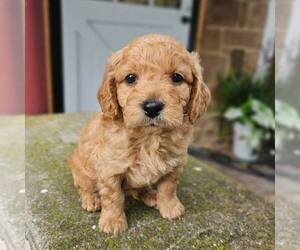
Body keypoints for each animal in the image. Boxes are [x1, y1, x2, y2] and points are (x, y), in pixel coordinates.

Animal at [69, 34, 210, 235]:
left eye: (177, 77)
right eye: (130, 78)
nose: (152, 107)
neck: (149, 137)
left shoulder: (175, 163)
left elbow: (169, 186)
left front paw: (170, 207)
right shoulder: (109, 169)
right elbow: (113, 196)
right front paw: (113, 221)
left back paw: (150, 195)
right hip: (82, 170)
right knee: (82, 186)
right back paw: (91, 199)